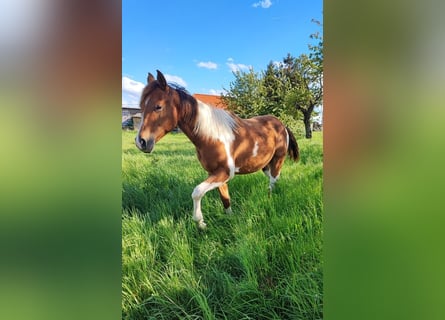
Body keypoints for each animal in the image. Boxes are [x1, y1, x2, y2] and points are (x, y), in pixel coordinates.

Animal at [134, 70, 296, 230]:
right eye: (141, 106)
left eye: (158, 106)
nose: (141, 142)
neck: (211, 136)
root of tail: (282, 125)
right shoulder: (214, 173)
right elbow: (225, 199)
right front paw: (229, 219)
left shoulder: (225, 172)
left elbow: (197, 192)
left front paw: (200, 223)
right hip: (265, 165)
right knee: (273, 178)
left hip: (278, 160)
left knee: (273, 180)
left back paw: (269, 199)